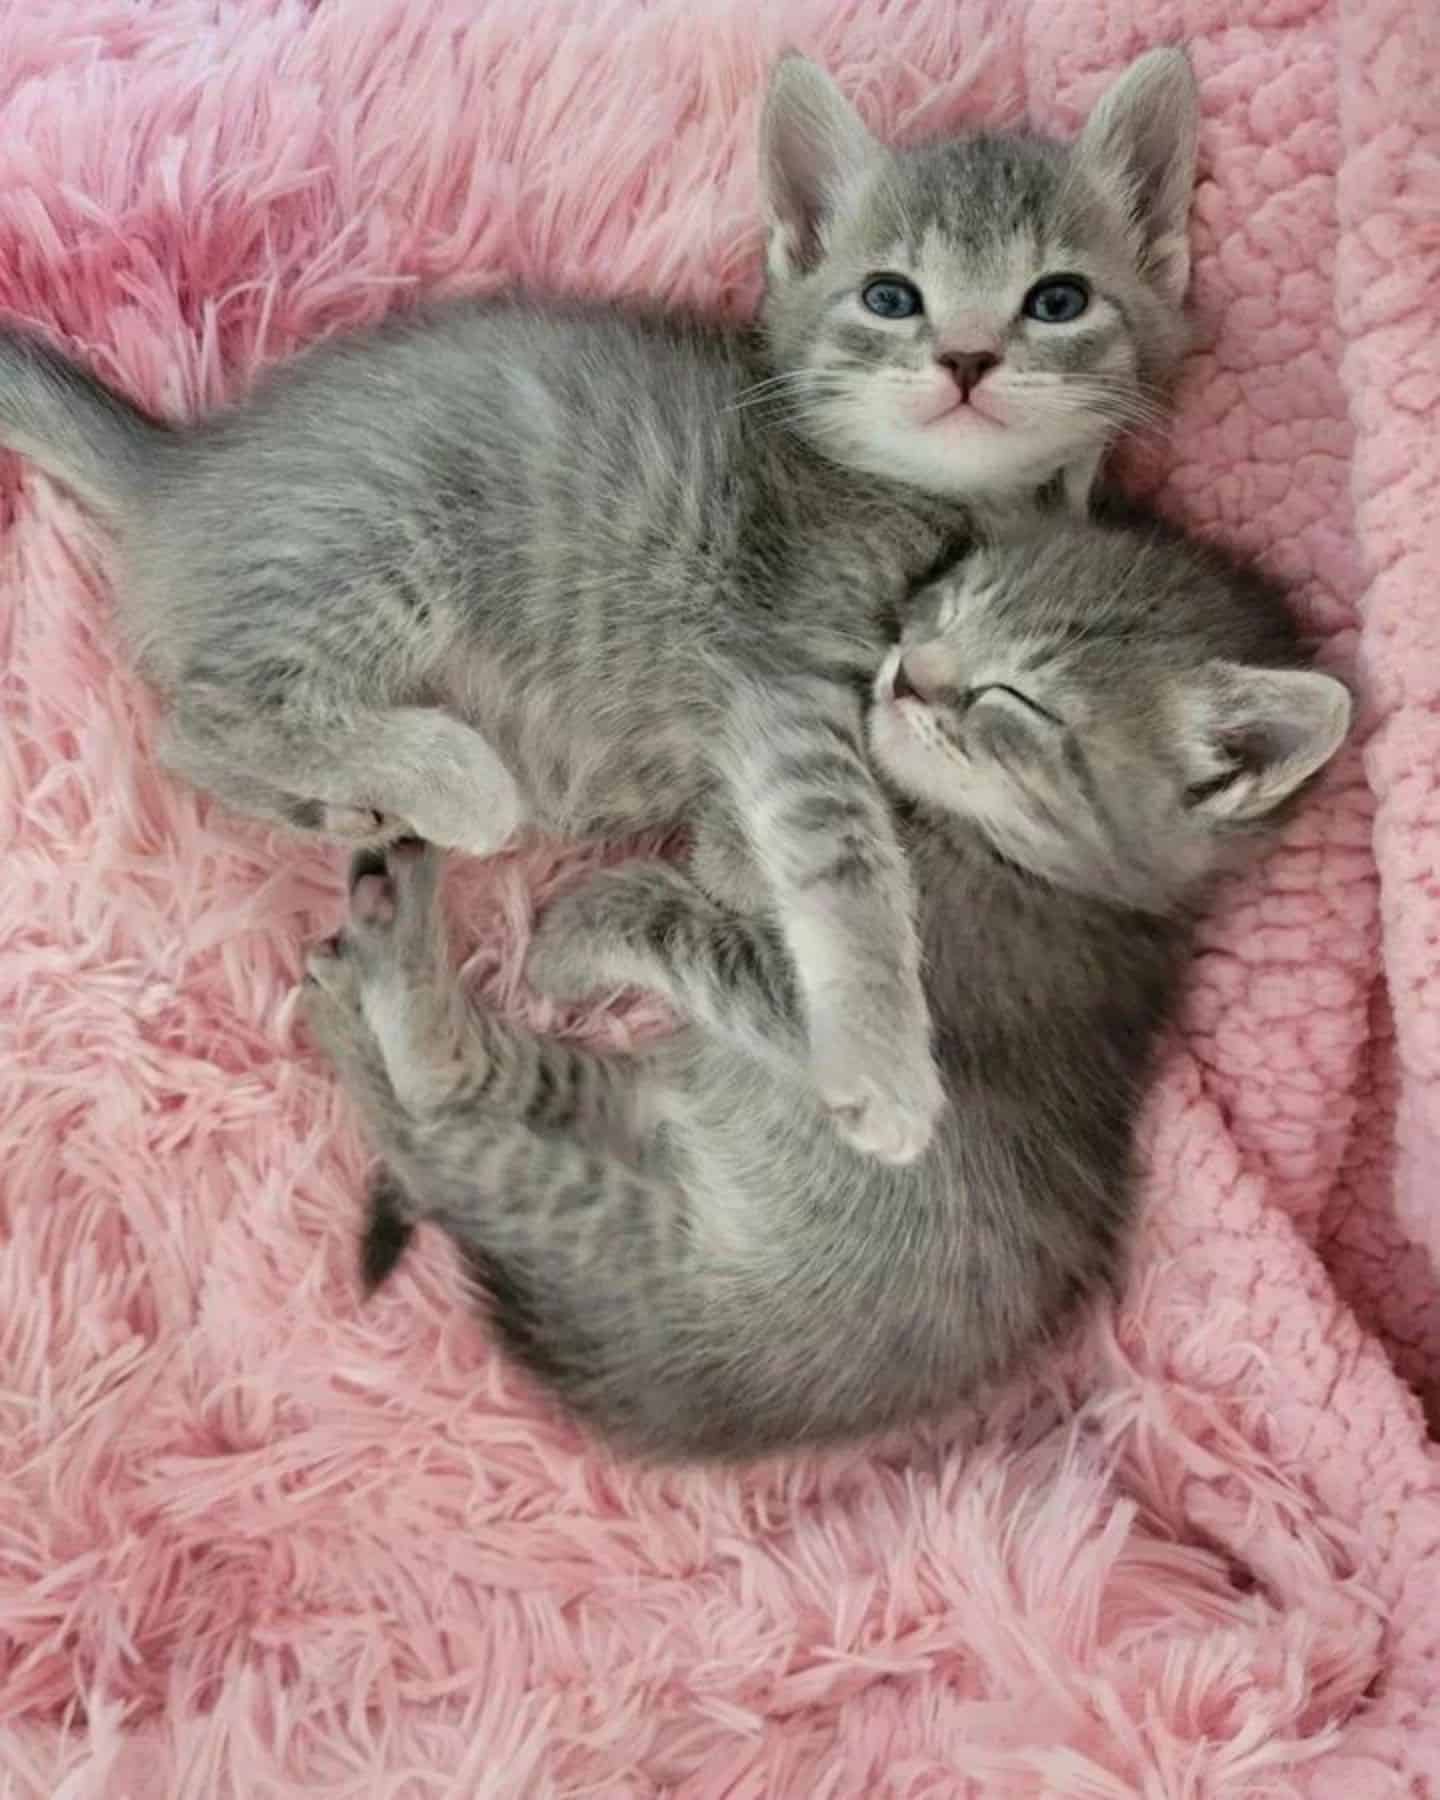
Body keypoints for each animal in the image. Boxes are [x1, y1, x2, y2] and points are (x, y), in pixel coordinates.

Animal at [0, 52, 1195, 1166]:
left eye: (1058, 299)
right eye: (891, 296)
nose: (967, 358)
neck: (930, 502)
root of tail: (181, 468)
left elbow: (746, 846)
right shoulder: (782, 673)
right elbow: (842, 857)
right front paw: (881, 1061)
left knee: (189, 733)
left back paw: (347, 809)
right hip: (391, 541)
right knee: (209, 711)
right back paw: (451, 775)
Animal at [300, 514, 1353, 1468]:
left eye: (1019, 697)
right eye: (952, 598)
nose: (908, 669)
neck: (1035, 872)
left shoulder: (896, 1000)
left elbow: (706, 922)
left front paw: (590, 921)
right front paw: (722, 845)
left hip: (627, 1229)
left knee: (437, 1119)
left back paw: (378, 981)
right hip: (630, 1090)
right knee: (478, 1083)